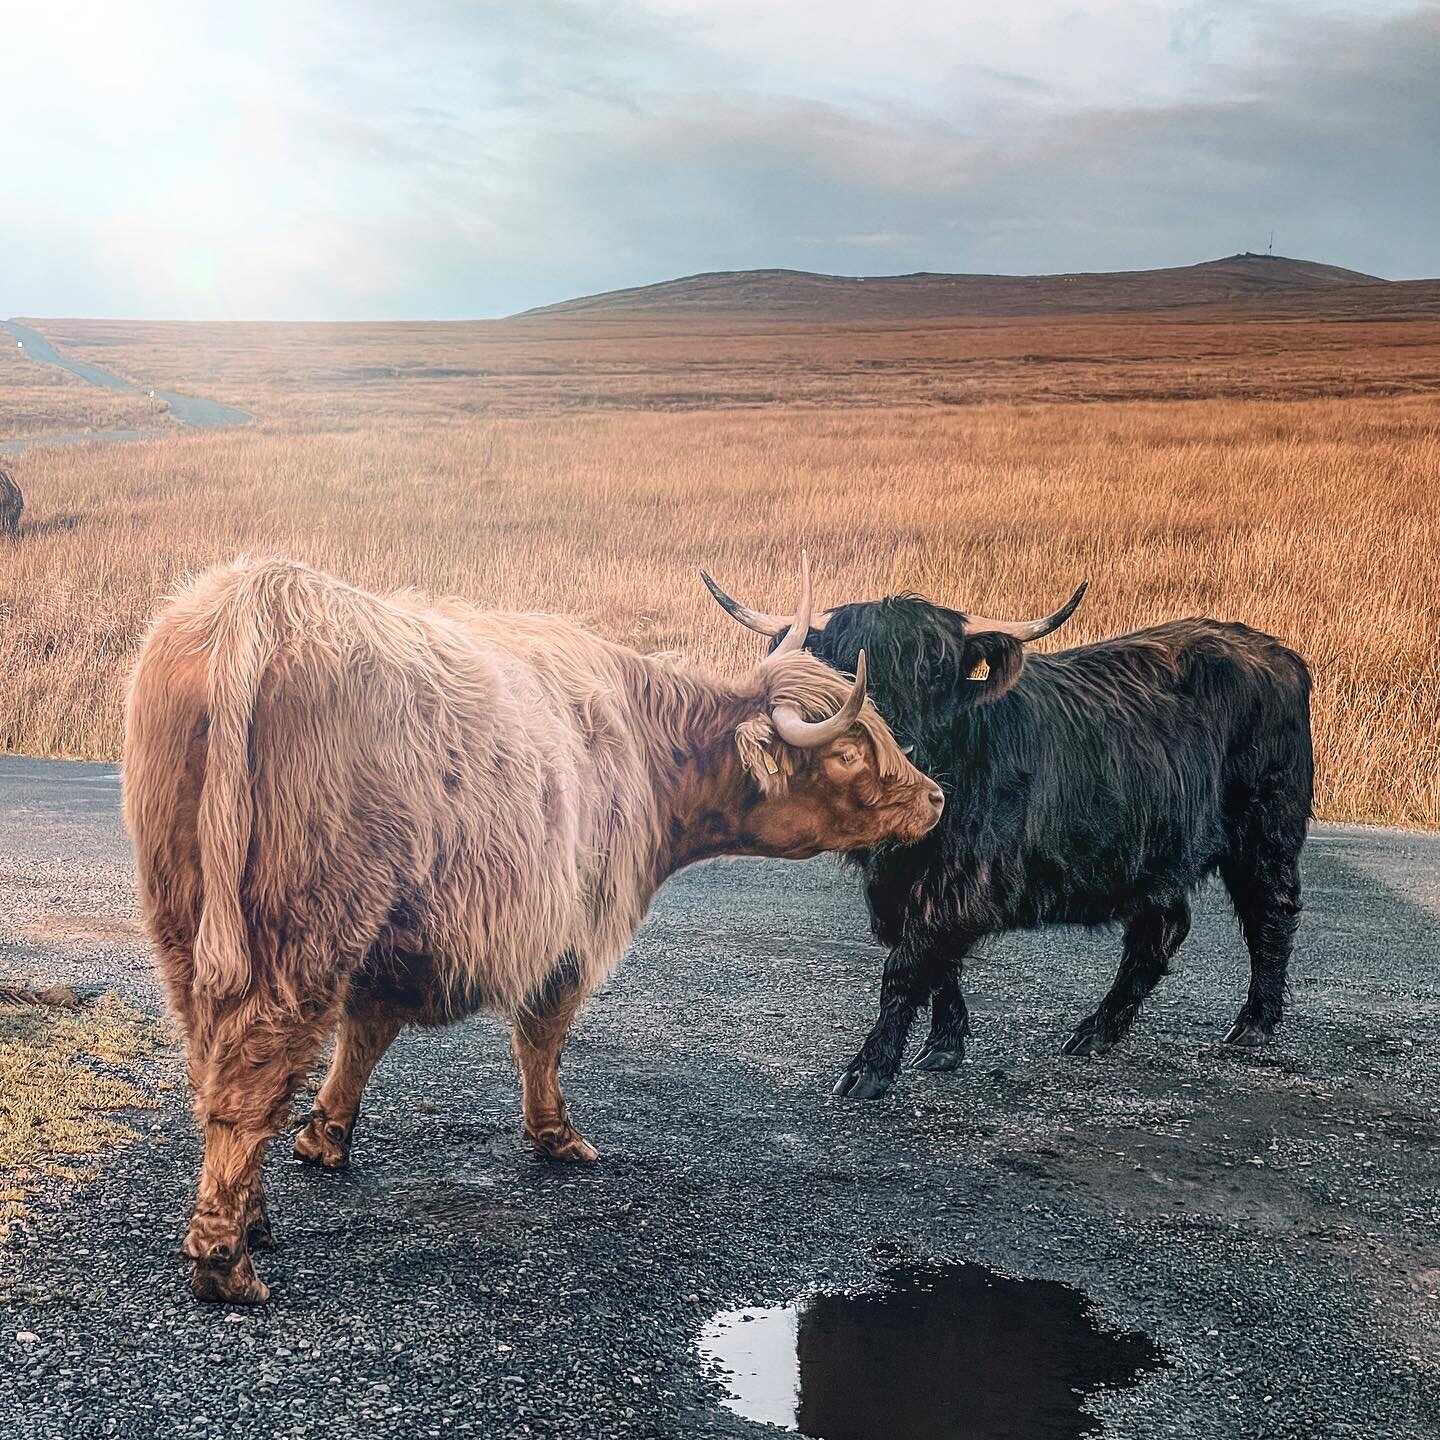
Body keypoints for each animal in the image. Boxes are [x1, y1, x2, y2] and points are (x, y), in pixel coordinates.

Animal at [123, 555, 943, 1303]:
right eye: (848, 751)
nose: (936, 797)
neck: (647, 747)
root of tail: (261, 598)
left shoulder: (400, 939)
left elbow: (366, 1032)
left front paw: (325, 1139)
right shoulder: (572, 927)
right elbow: (542, 1035)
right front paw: (557, 1136)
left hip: (184, 919)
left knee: (211, 1058)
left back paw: (254, 1218)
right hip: (306, 925)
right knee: (251, 1071)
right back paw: (227, 1264)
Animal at [702, 570, 1313, 1100]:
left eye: (937, 673)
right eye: (847, 672)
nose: (898, 756)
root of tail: (1275, 652)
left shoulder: (963, 879)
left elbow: (908, 964)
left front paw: (868, 1071)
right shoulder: (896, 885)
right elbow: (934, 961)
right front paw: (944, 1045)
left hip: (1265, 832)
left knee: (1270, 913)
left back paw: (1254, 1025)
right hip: (1153, 854)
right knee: (1160, 930)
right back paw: (1097, 1032)